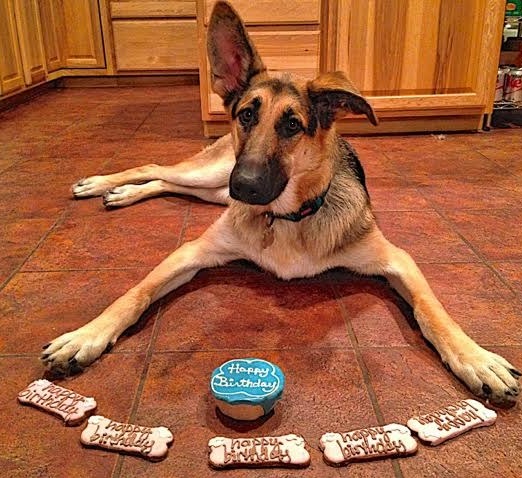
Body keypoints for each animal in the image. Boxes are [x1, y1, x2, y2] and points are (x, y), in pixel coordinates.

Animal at [41, 0, 516, 404]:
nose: (247, 187)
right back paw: (105, 184)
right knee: (156, 165)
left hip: (214, 187)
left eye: (292, 125)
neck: (287, 218)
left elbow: (433, 312)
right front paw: (86, 336)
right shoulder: (192, 251)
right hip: (214, 174)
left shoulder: (398, 260)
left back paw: (123, 193)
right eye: (247, 115)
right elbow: (135, 292)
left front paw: (476, 359)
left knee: (166, 180)